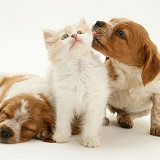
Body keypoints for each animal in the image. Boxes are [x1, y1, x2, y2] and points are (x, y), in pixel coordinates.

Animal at [43, 19, 109, 148]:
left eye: (79, 32)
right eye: (64, 37)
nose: (74, 35)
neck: (79, 68)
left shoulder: (95, 102)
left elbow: (91, 125)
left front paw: (90, 140)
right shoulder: (64, 101)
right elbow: (62, 121)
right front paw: (61, 136)